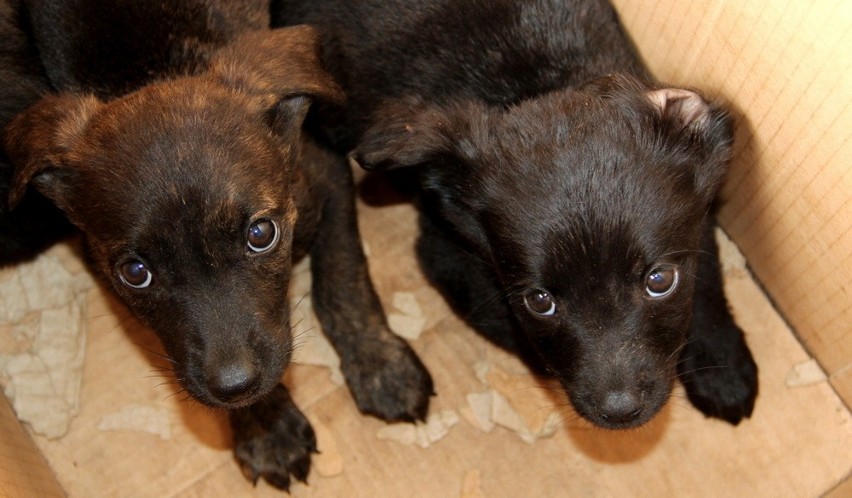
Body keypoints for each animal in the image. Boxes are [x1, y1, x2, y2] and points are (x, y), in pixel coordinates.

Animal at [3, 0, 432, 490]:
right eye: (135, 273)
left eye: (261, 234)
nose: (233, 383)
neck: (158, 69)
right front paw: (266, 427)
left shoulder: (326, 174)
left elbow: (345, 278)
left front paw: (382, 366)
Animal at [274, 0, 760, 428]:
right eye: (539, 302)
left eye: (660, 280)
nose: (619, 410)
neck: (535, 81)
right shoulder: (450, 258)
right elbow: (530, 345)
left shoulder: (700, 210)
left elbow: (707, 277)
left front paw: (721, 366)